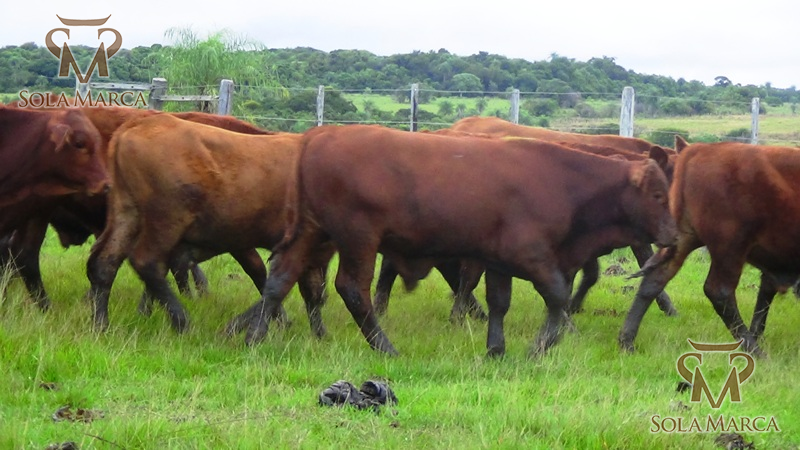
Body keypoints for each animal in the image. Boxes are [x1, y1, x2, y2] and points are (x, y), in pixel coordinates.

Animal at [85, 114, 330, 335]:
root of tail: (143, 122)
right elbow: (288, 285)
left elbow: (303, 289)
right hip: (167, 220)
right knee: (147, 262)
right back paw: (182, 322)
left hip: (127, 214)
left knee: (105, 263)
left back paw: (101, 325)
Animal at [231, 124, 676, 357]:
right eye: (658, 194)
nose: (674, 234)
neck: (565, 181)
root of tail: (319, 135)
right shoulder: (533, 257)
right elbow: (558, 297)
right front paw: (542, 345)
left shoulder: (498, 261)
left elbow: (499, 302)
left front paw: (496, 349)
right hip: (358, 239)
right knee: (352, 289)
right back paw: (385, 347)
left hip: (311, 232)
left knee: (280, 279)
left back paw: (254, 337)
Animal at [618, 141, 800, 357]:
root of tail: (700, 149)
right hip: (731, 247)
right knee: (718, 291)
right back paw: (756, 352)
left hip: (684, 239)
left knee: (654, 280)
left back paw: (627, 341)